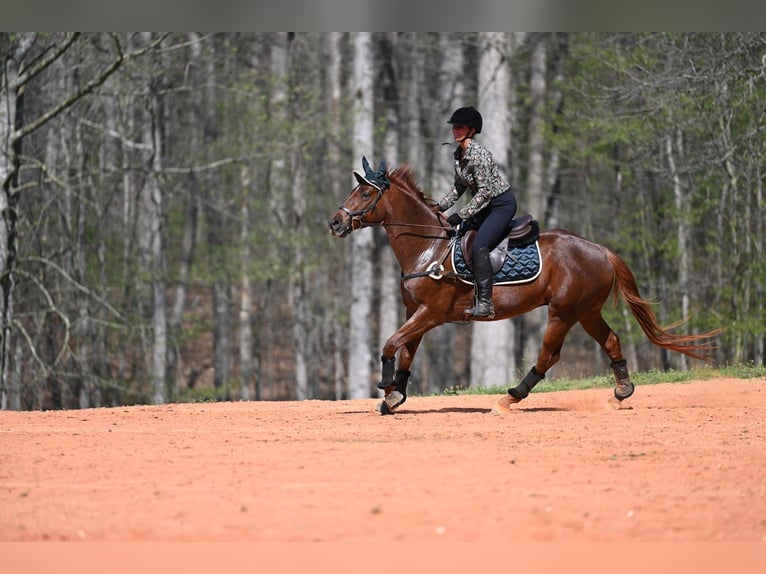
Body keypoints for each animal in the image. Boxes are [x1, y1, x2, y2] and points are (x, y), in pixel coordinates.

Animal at [327, 159, 722, 415]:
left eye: (365, 195)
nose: (335, 223)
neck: (428, 248)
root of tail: (601, 250)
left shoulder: (431, 313)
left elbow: (391, 343)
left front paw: (386, 388)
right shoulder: (416, 311)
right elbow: (406, 351)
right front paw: (395, 395)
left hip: (563, 312)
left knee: (549, 355)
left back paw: (511, 397)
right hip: (586, 311)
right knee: (610, 340)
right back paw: (622, 391)